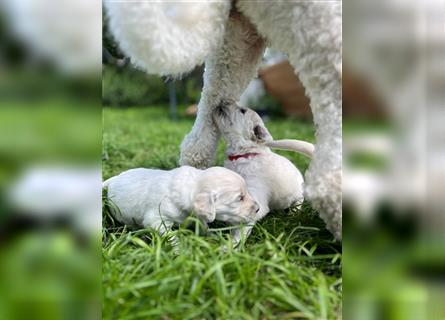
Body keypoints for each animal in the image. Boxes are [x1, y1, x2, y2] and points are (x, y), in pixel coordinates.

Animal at [103, 166, 258, 236]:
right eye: (240, 198)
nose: (258, 208)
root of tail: (115, 178)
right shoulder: (157, 219)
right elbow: (170, 235)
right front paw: (179, 251)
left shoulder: (196, 216)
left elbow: (203, 226)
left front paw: (212, 236)